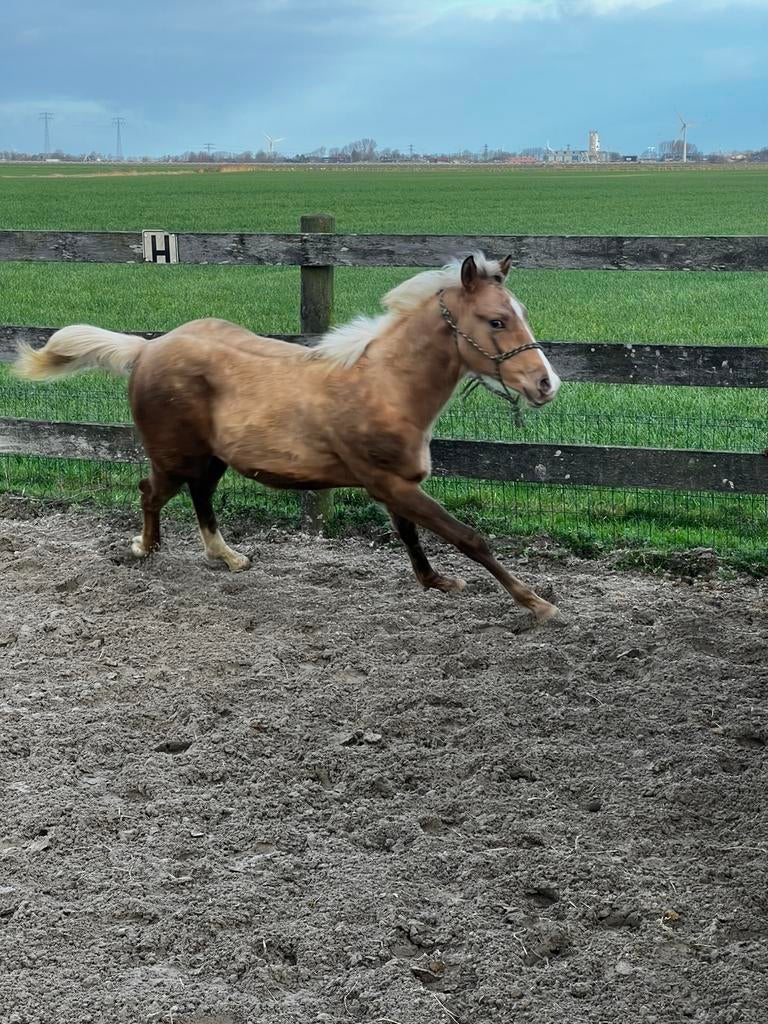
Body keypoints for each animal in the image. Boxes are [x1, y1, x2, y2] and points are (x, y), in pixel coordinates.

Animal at [14, 253, 562, 621]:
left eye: (521, 312)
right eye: (496, 320)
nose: (546, 384)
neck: (385, 385)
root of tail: (146, 348)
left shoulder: (394, 482)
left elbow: (410, 534)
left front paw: (439, 582)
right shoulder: (387, 481)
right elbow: (468, 537)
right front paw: (537, 603)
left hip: (210, 458)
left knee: (200, 496)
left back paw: (228, 557)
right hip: (174, 456)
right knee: (152, 492)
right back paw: (144, 549)